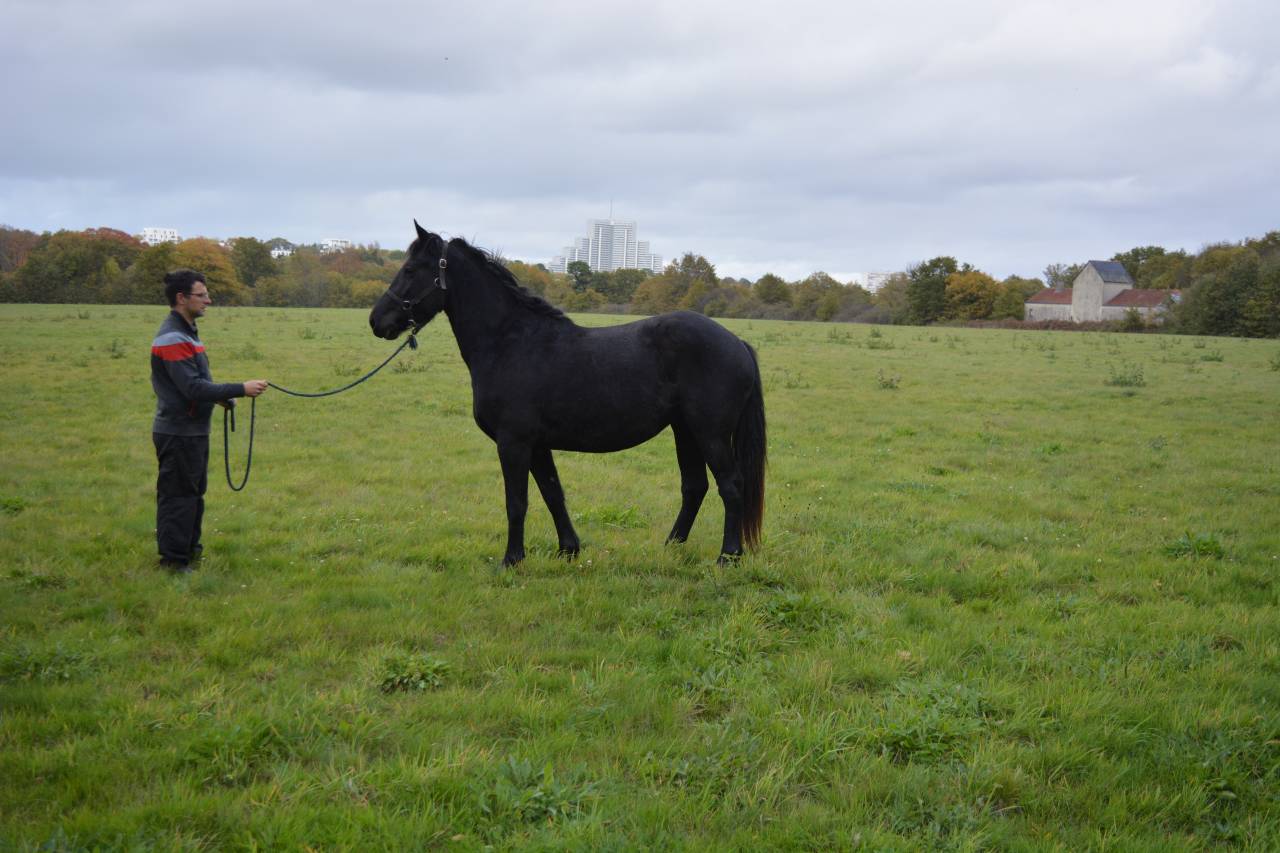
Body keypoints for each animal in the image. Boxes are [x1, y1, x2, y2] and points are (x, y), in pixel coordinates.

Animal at [369, 222, 766, 566]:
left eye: (410, 270)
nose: (377, 320)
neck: (511, 343)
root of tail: (738, 343)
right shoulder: (537, 445)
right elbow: (552, 493)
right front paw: (568, 550)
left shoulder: (513, 443)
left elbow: (517, 502)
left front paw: (512, 560)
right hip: (685, 431)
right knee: (694, 487)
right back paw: (671, 547)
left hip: (710, 433)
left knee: (731, 487)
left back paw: (728, 556)